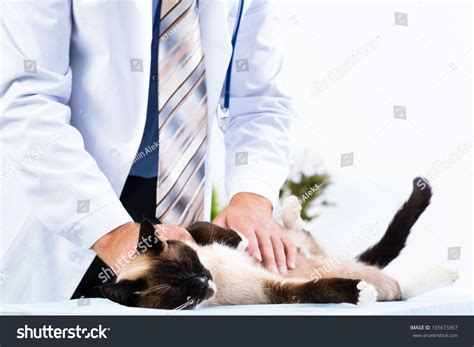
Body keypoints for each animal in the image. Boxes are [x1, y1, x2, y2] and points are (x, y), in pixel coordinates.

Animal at [100, 178, 460, 312]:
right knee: (399, 290)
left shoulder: (193, 231)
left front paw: (242, 239)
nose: (204, 280)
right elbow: (316, 290)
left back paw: (288, 207)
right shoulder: (274, 292)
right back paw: (447, 274)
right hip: (378, 284)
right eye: (179, 290)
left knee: (299, 232)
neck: (217, 271)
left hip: (305, 246)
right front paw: (358, 293)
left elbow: (206, 227)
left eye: (190, 264)